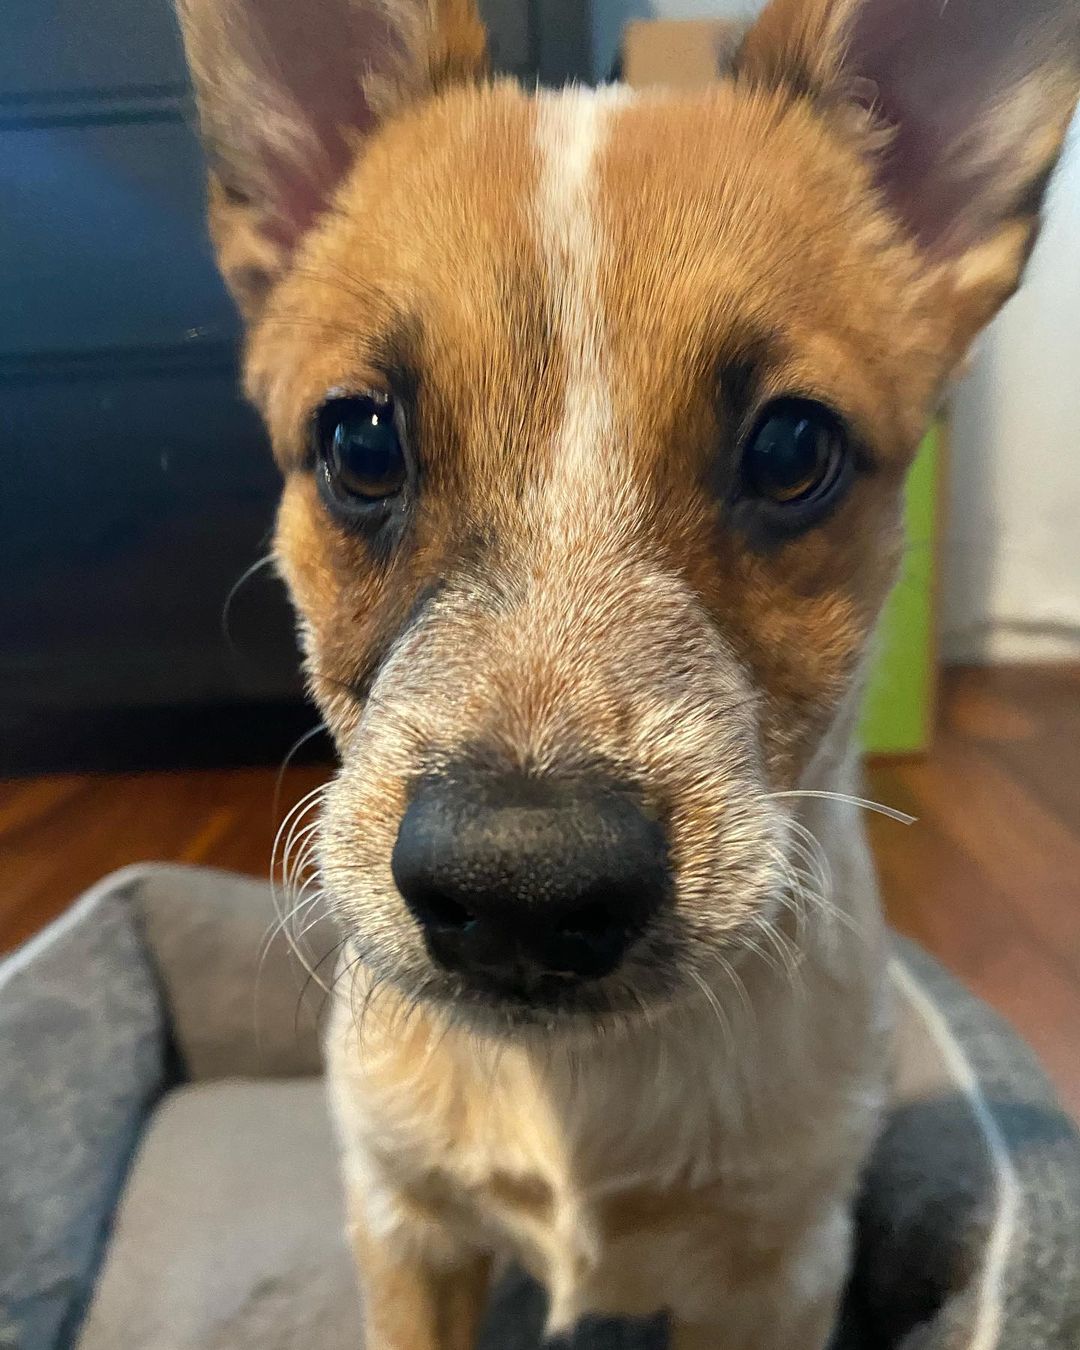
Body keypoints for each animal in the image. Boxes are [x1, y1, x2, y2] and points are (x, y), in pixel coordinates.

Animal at [176, 0, 1080, 1339]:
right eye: (361, 441)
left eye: (793, 448)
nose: (522, 888)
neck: (579, 1085)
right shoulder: (407, 1226)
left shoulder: (781, 1271)